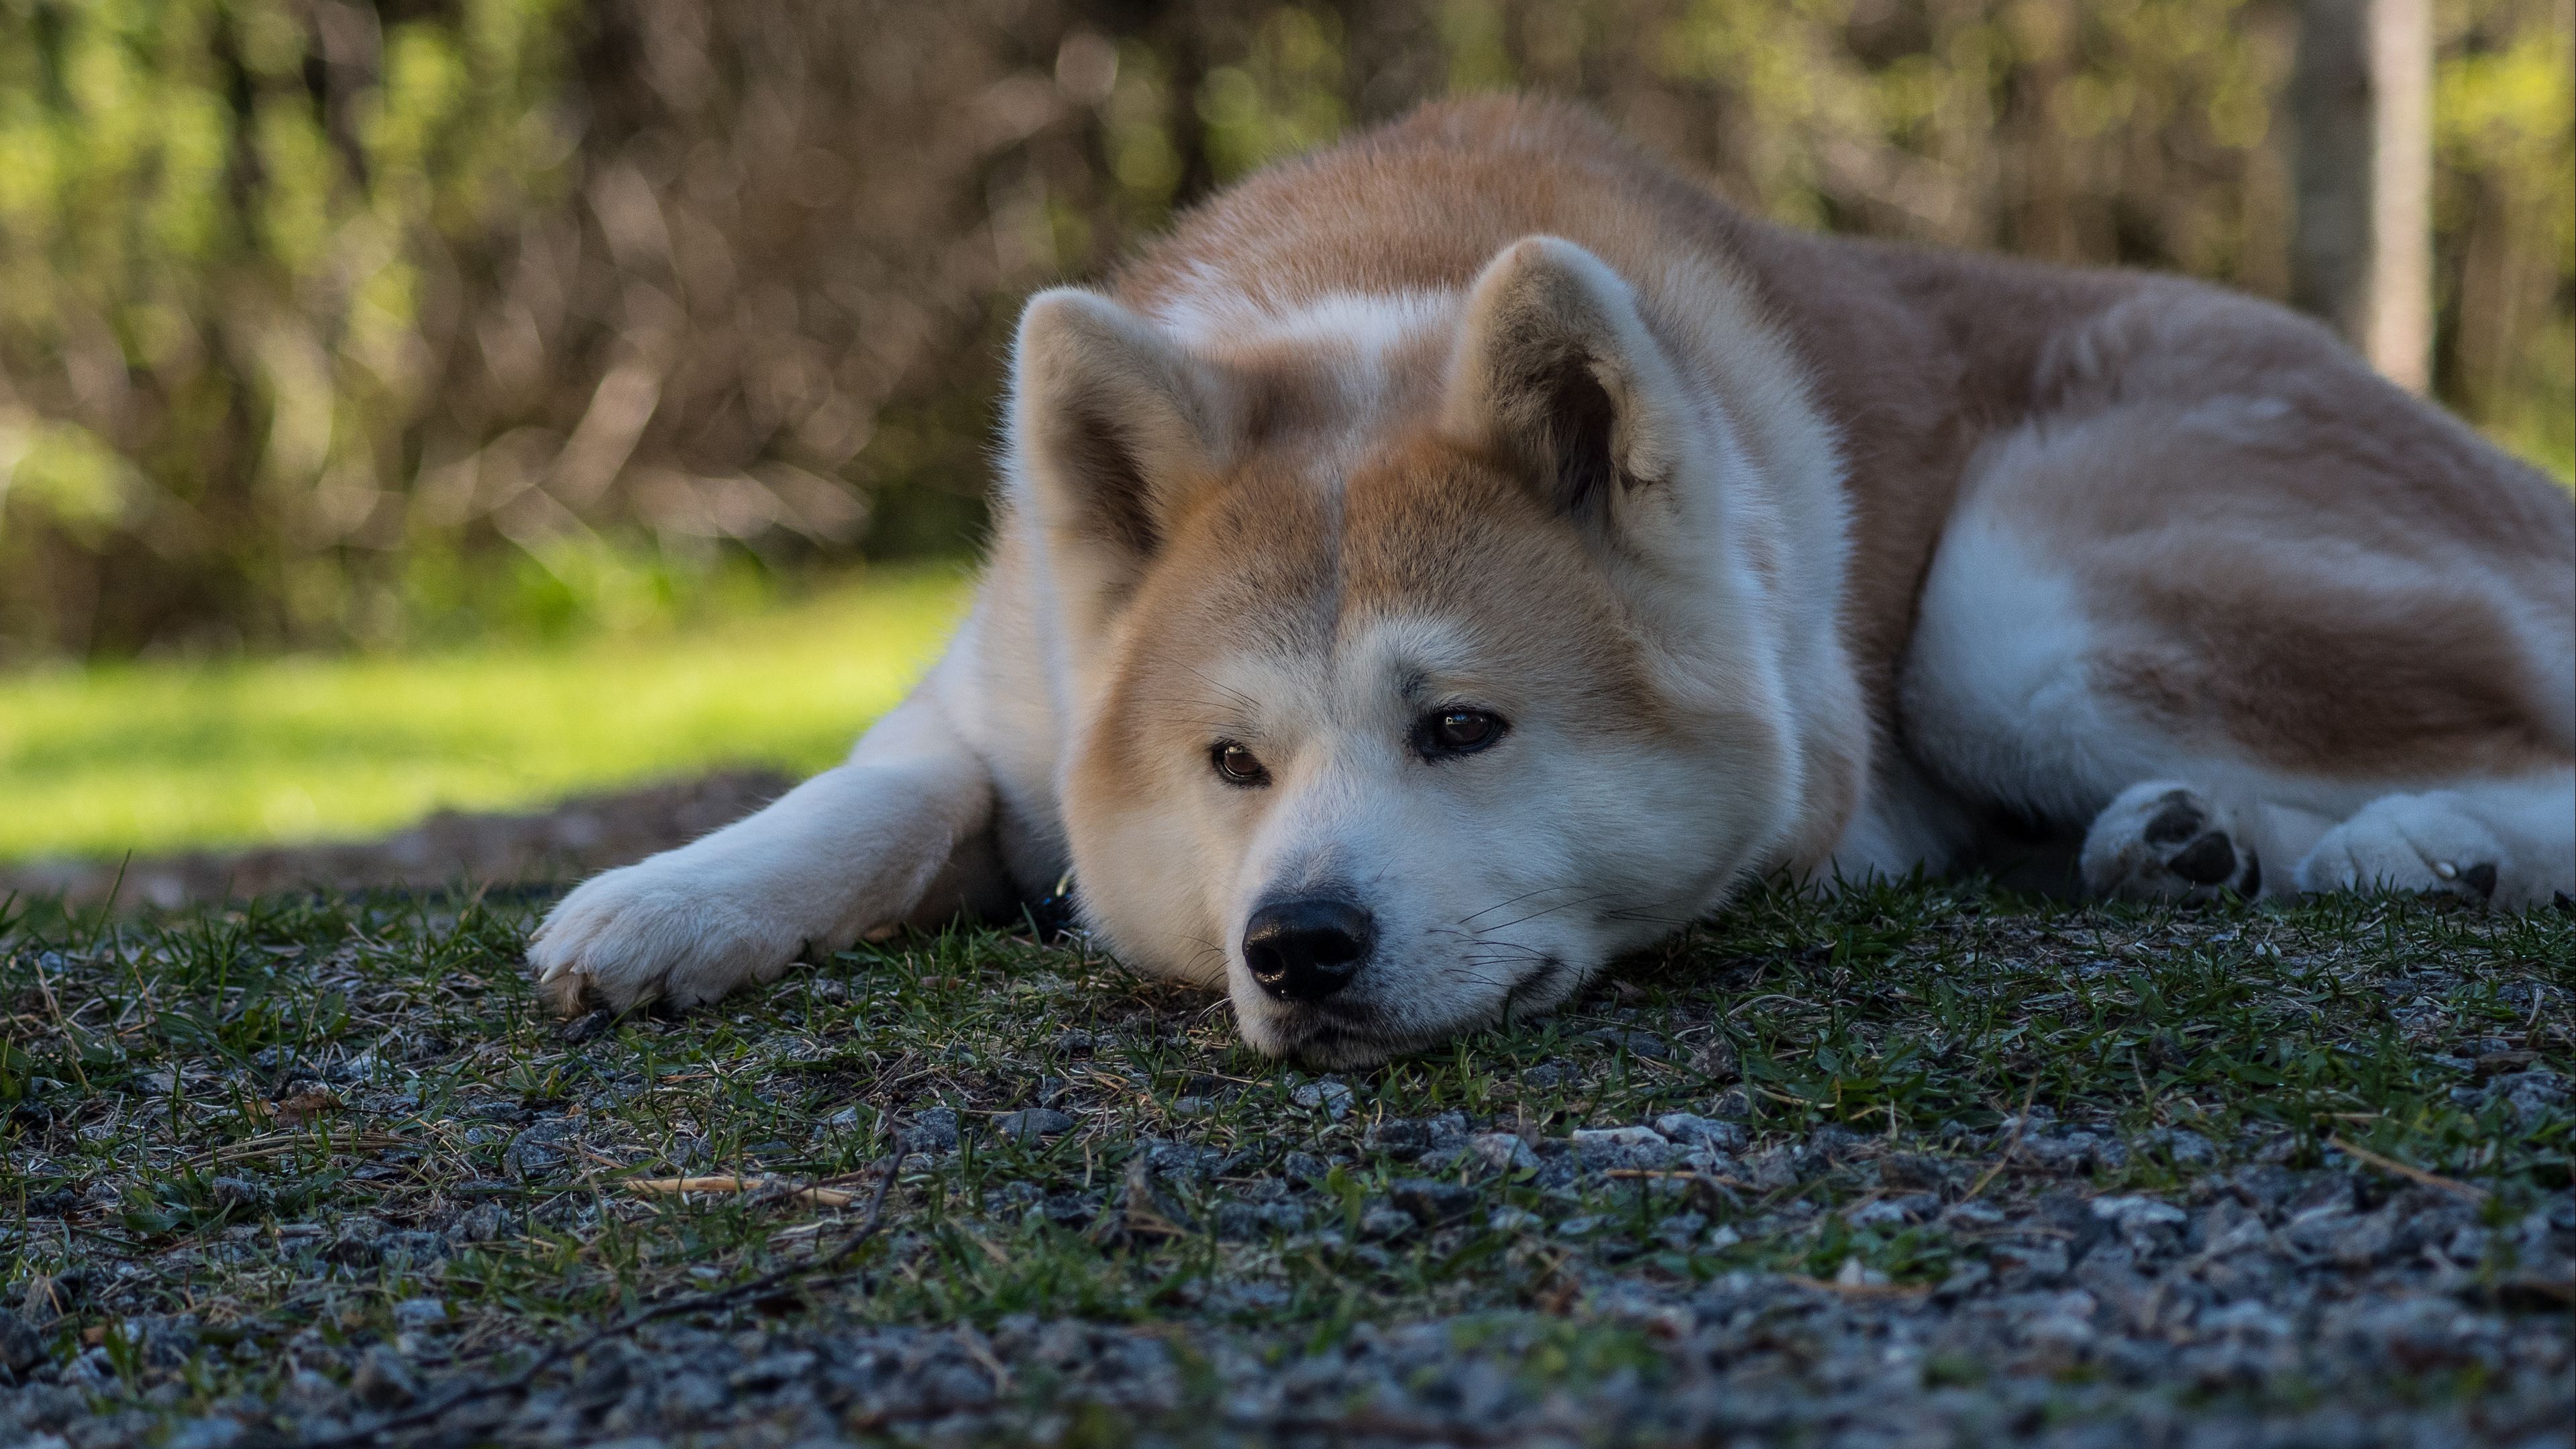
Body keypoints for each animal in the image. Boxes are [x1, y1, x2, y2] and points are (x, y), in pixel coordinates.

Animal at [523, 93, 2576, 1062]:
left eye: (1462, 728)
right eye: (1229, 765)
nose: (1295, 944)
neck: (1372, 306)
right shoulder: (999, 688)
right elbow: (882, 790)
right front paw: (674, 899)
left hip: (2012, 617)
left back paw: (2411, 845)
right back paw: (2190, 842)